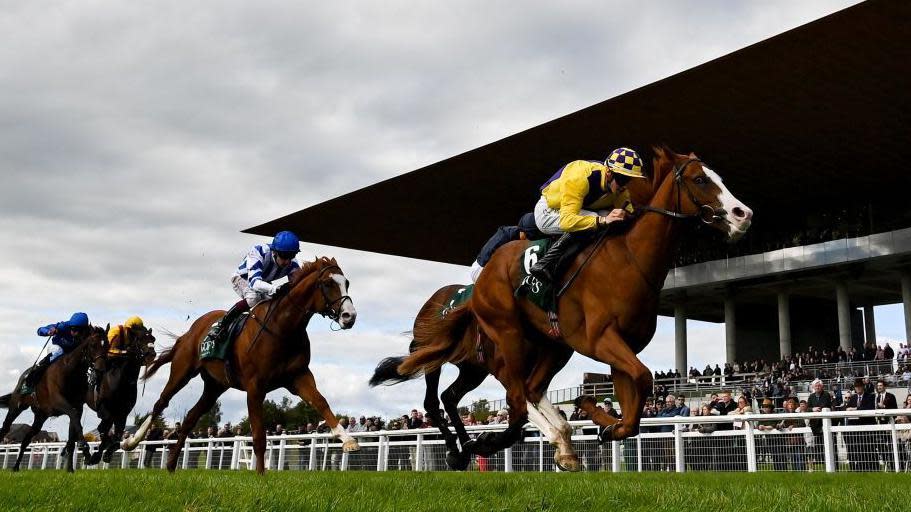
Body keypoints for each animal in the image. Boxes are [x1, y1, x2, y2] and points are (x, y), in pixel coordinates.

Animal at [0, 328, 108, 472]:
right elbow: (74, 418)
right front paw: (85, 449)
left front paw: (70, 469)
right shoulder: (59, 402)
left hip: (41, 416)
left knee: (26, 439)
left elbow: (73, 432)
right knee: (5, 427)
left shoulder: (77, 407)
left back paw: (16, 467)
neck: (70, 372)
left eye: (106, 345)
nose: (101, 369)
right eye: (93, 345)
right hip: (16, 407)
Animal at [83, 326, 158, 466]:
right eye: (140, 339)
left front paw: (108, 452)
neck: (121, 379)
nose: (152, 354)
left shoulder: (122, 412)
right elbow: (104, 430)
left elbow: (117, 434)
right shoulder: (104, 410)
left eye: (153, 339)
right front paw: (96, 455)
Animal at [123, 258, 358, 474]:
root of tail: (190, 332)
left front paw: (348, 440)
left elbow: (320, 402)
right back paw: (131, 442)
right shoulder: (255, 388)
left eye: (346, 282)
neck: (283, 329)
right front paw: (261, 476)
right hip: (183, 371)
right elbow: (259, 436)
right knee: (161, 403)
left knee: (190, 417)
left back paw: (171, 465)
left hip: (215, 386)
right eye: (328, 283)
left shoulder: (299, 376)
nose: (350, 316)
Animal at [370, 284, 576, 472]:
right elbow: (520, 410)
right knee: (432, 401)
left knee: (449, 397)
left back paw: (463, 448)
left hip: (473, 371)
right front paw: (485, 442)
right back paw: (455, 451)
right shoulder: (505, 370)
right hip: (433, 356)